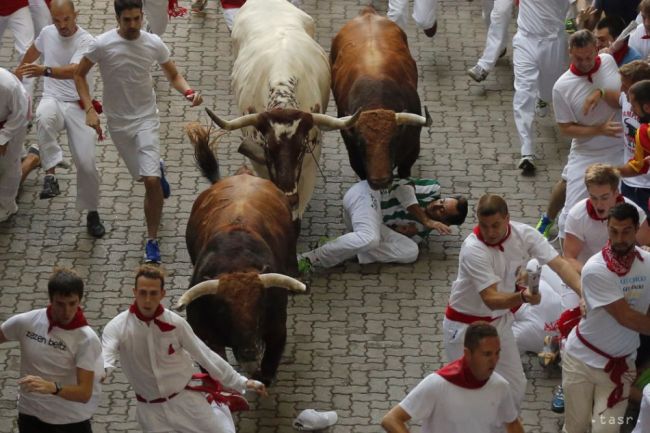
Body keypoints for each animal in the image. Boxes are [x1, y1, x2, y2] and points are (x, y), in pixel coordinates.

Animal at [330, 6, 430, 189]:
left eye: (393, 140)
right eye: (361, 143)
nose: (380, 181)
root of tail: (367, 13)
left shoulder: (411, 151)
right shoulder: (354, 156)